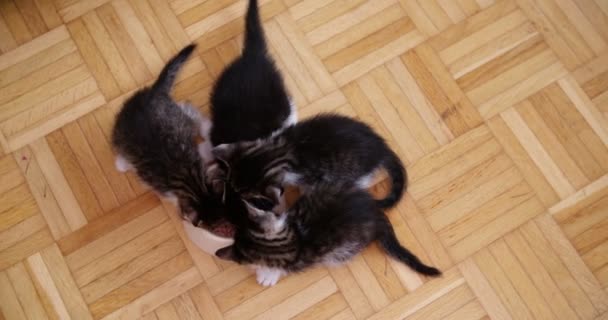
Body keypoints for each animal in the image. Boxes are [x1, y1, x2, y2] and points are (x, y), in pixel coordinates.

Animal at [211, 114, 406, 211]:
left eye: (243, 194)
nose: (231, 196)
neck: (278, 152)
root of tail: (381, 148)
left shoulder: (310, 178)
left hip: (352, 173)